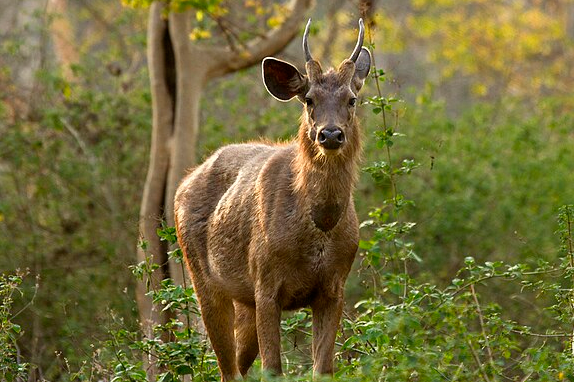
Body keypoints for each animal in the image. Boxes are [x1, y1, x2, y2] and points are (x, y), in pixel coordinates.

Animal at [176, 18, 374, 382]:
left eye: (352, 99)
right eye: (308, 99)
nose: (330, 134)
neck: (320, 226)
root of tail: (184, 182)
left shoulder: (334, 288)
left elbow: (323, 370)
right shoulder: (266, 283)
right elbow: (273, 370)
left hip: (244, 300)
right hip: (204, 279)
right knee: (227, 369)